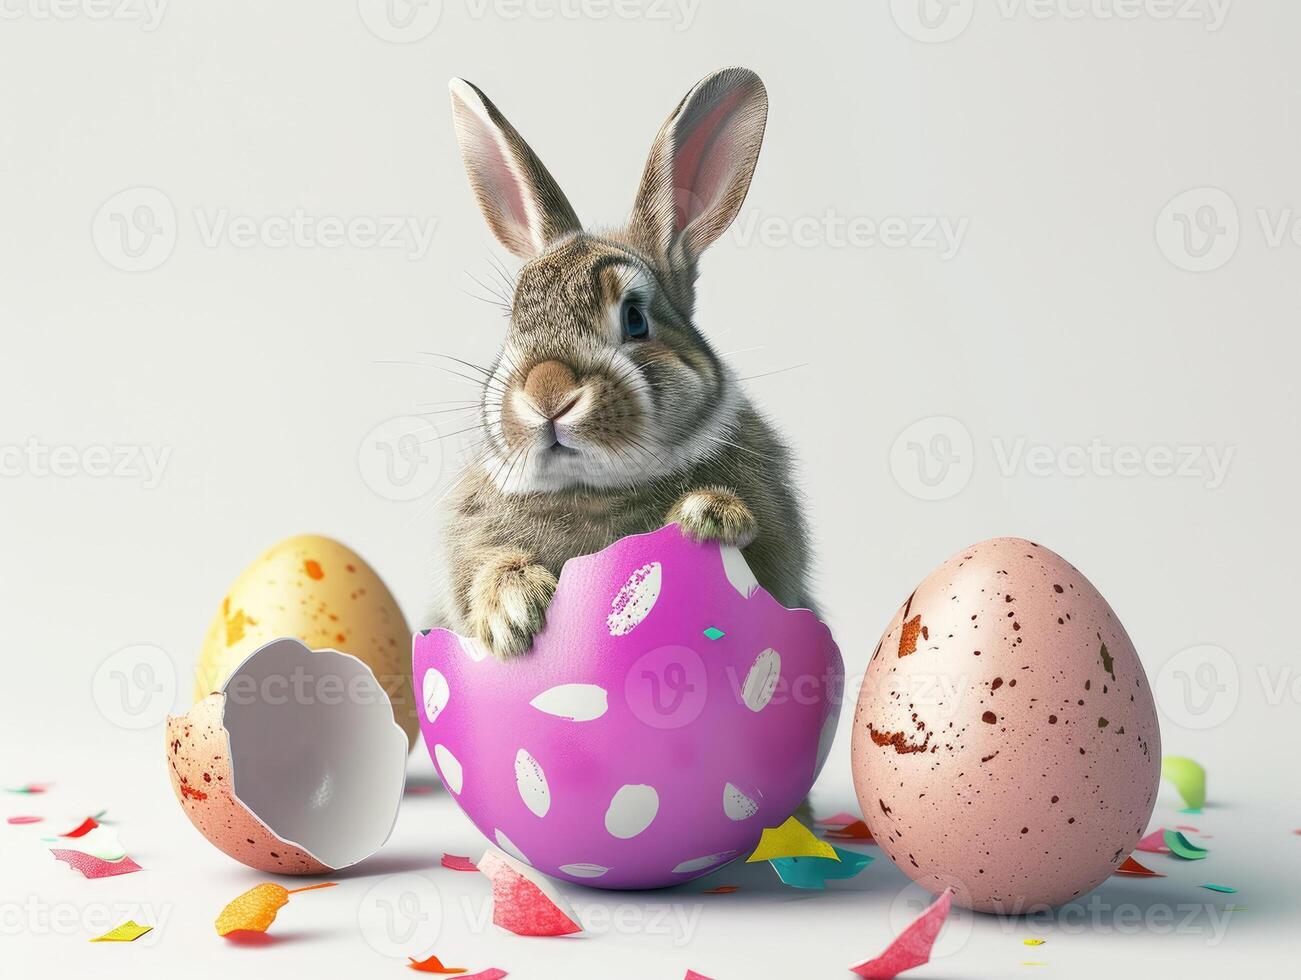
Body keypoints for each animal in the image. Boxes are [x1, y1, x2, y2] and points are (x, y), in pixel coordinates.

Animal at [437, 67, 811, 658]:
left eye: (635, 319)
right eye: (515, 319)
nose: (547, 395)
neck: (593, 487)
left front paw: (710, 516)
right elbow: (481, 571)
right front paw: (512, 608)